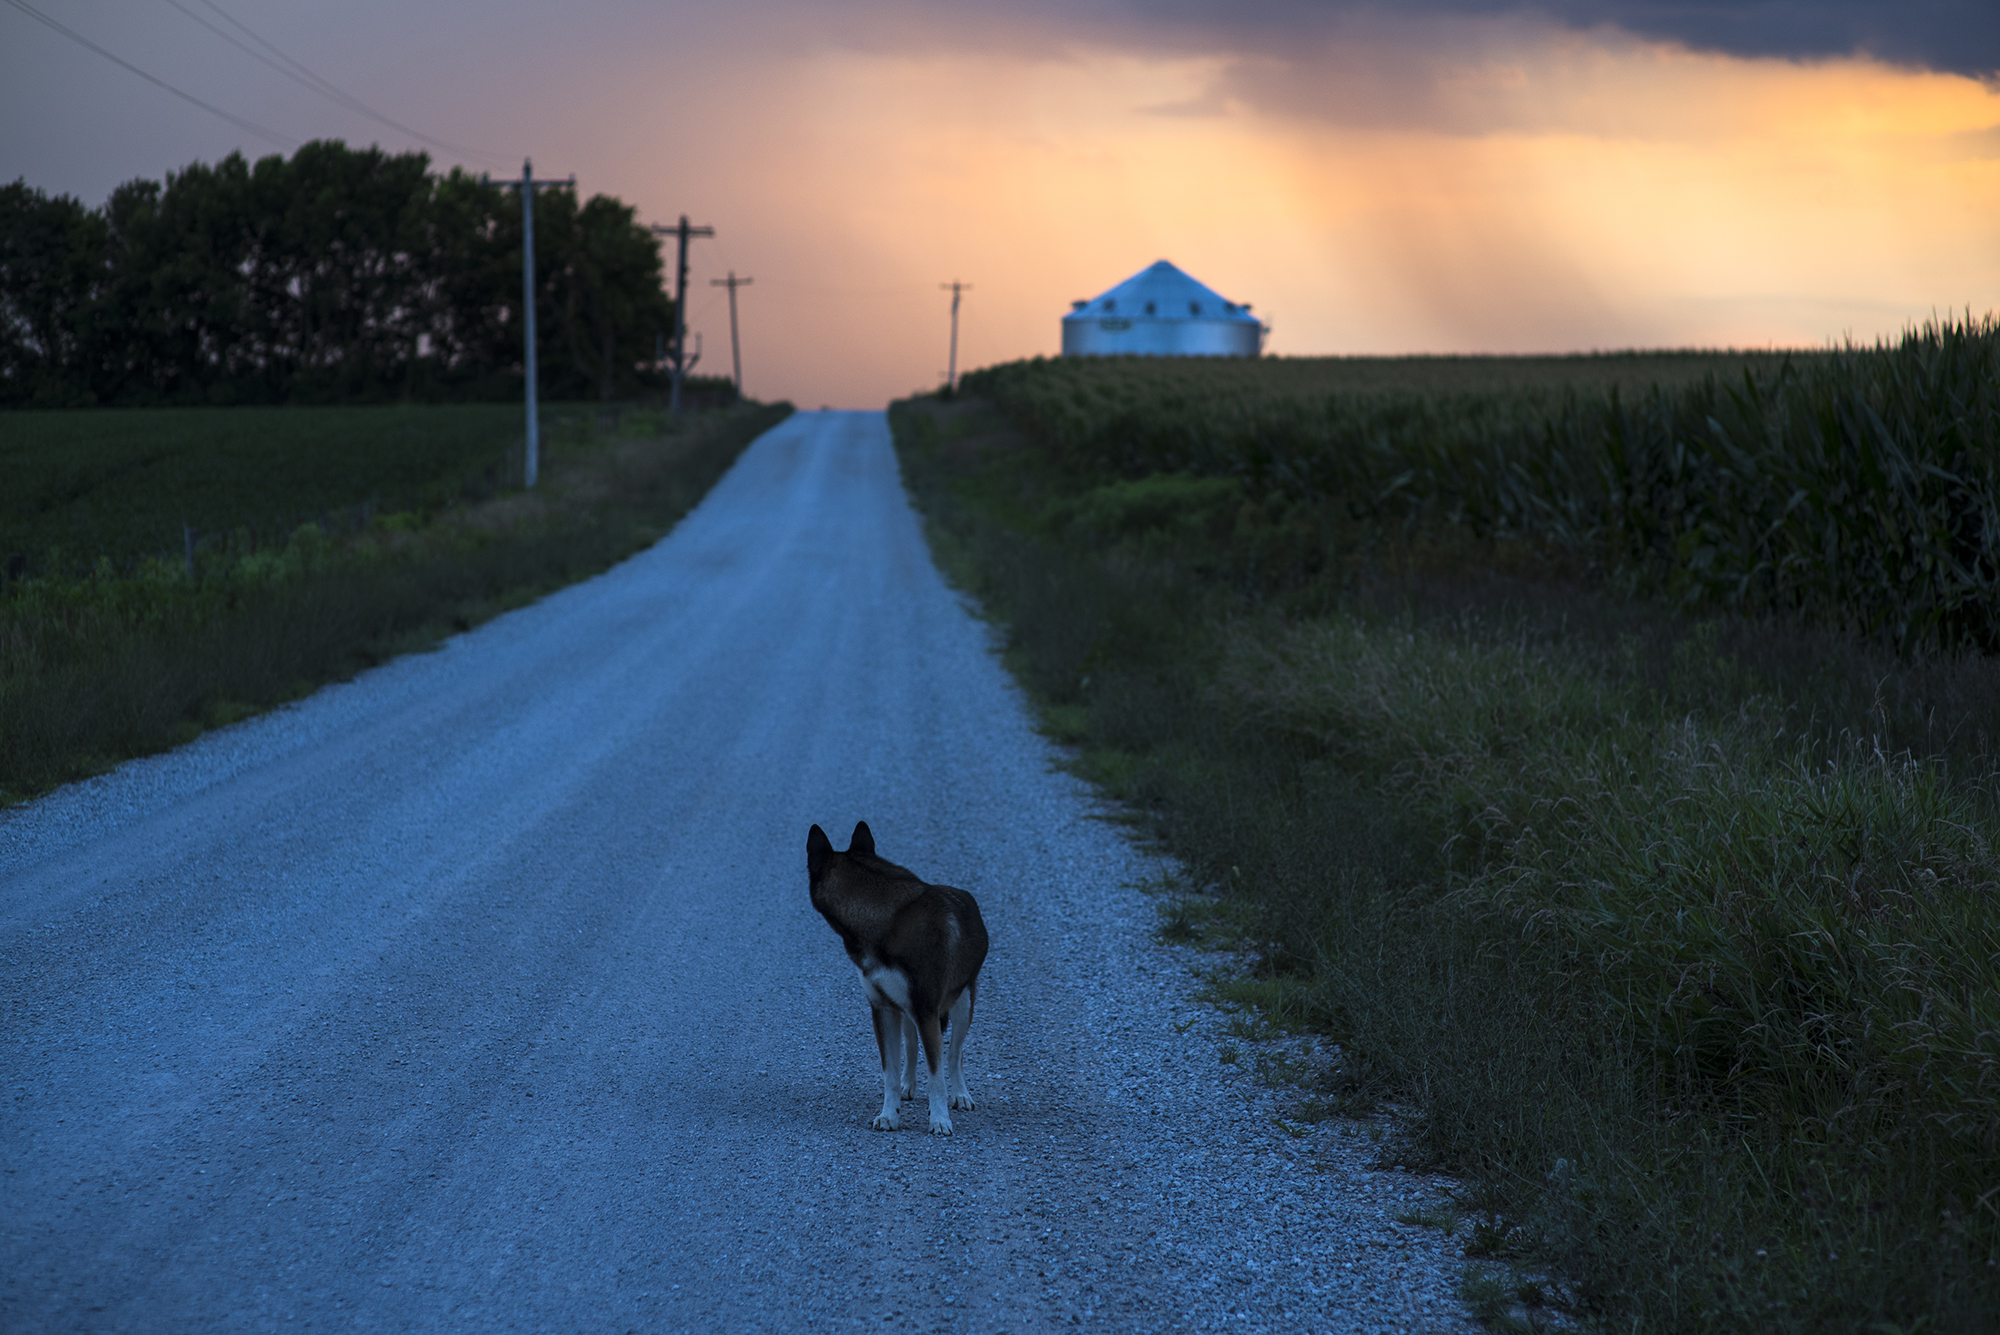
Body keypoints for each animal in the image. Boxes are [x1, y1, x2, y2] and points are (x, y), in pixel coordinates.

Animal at [808, 819, 988, 1135]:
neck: (886, 920)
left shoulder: (926, 1009)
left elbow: (937, 1075)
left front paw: (939, 1119)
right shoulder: (883, 1009)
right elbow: (889, 1073)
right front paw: (889, 1115)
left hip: (961, 1007)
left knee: (954, 1055)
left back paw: (960, 1095)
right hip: (907, 1013)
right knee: (913, 1045)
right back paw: (908, 1085)